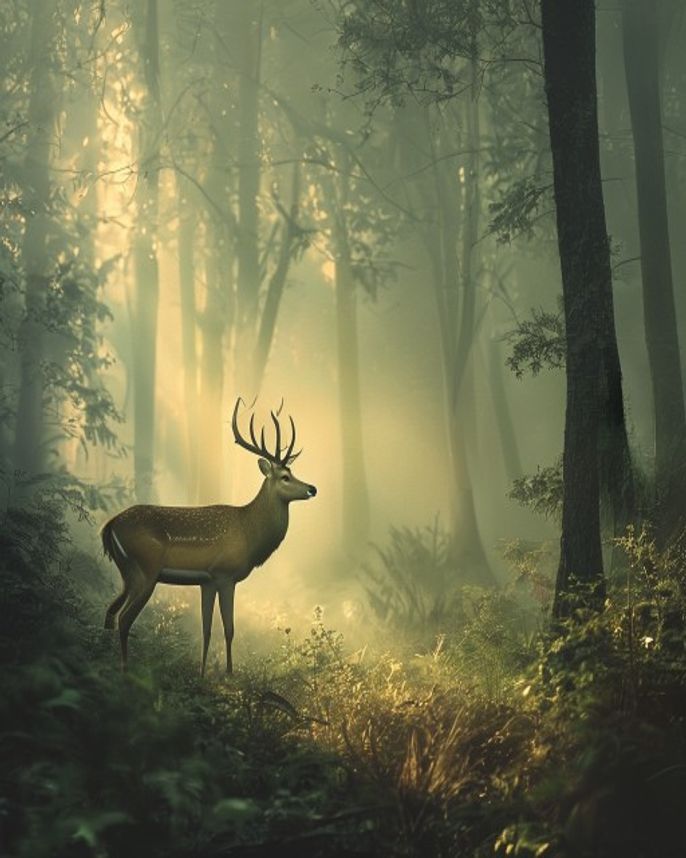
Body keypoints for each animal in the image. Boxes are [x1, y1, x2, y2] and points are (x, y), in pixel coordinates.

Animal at [100, 398, 317, 674]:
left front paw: (202, 673)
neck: (249, 533)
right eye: (285, 477)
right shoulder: (225, 574)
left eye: (293, 471)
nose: (312, 488)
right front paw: (229, 673)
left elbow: (206, 629)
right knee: (124, 617)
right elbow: (229, 628)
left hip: (127, 571)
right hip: (146, 570)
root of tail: (110, 526)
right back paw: (125, 669)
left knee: (110, 612)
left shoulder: (207, 580)